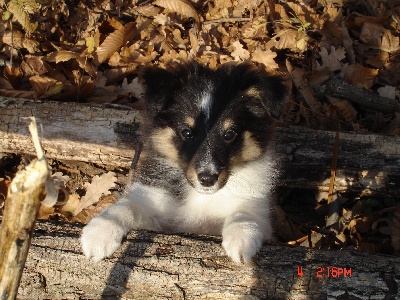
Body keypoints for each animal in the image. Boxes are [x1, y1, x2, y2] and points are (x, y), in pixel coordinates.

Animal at [81, 60, 288, 262]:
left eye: (229, 134)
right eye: (187, 133)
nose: (207, 179)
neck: (202, 197)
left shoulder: (258, 207)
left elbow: (245, 213)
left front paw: (242, 237)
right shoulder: (156, 203)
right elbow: (127, 206)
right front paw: (99, 233)